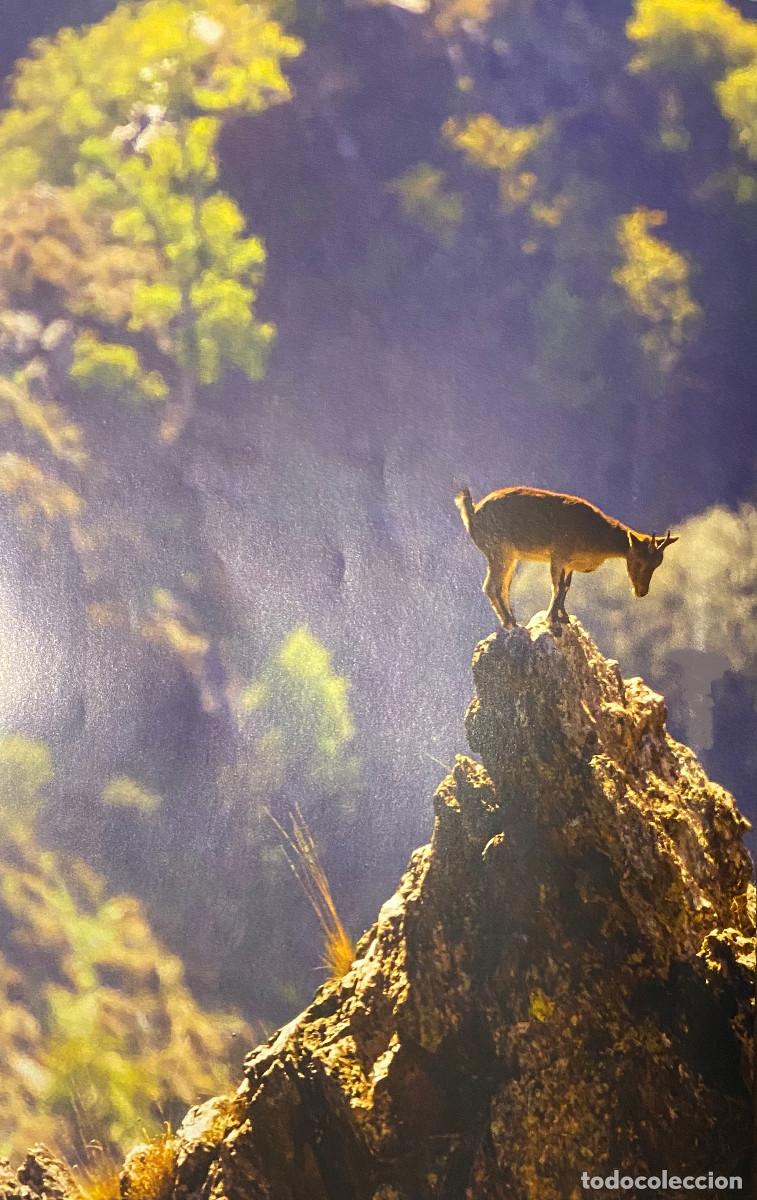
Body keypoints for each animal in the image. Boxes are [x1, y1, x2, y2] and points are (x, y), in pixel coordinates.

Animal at [455, 485, 678, 630]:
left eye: (657, 564)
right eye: (639, 559)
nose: (641, 592)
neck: (596, 534)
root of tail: (473, 512)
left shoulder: (569, 564)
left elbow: (566, 587)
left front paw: (564, 617)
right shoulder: (558, 555)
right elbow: (558, 586)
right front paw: (552, 620)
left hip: (509, 557)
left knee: (503, 586)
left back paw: (511, 620)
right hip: (499, 551)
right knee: (491, 585)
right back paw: (511, 622)